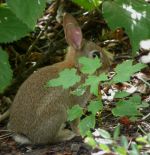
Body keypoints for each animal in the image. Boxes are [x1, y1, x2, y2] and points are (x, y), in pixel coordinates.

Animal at [7, 12, 111, 145]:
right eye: (96, 55)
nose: (108, 65)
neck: (78, 68)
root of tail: (23, 134)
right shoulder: (76, 104)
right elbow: (75, 121)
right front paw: (80, 132)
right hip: (58, 114)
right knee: (47, 139)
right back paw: (67, 135)